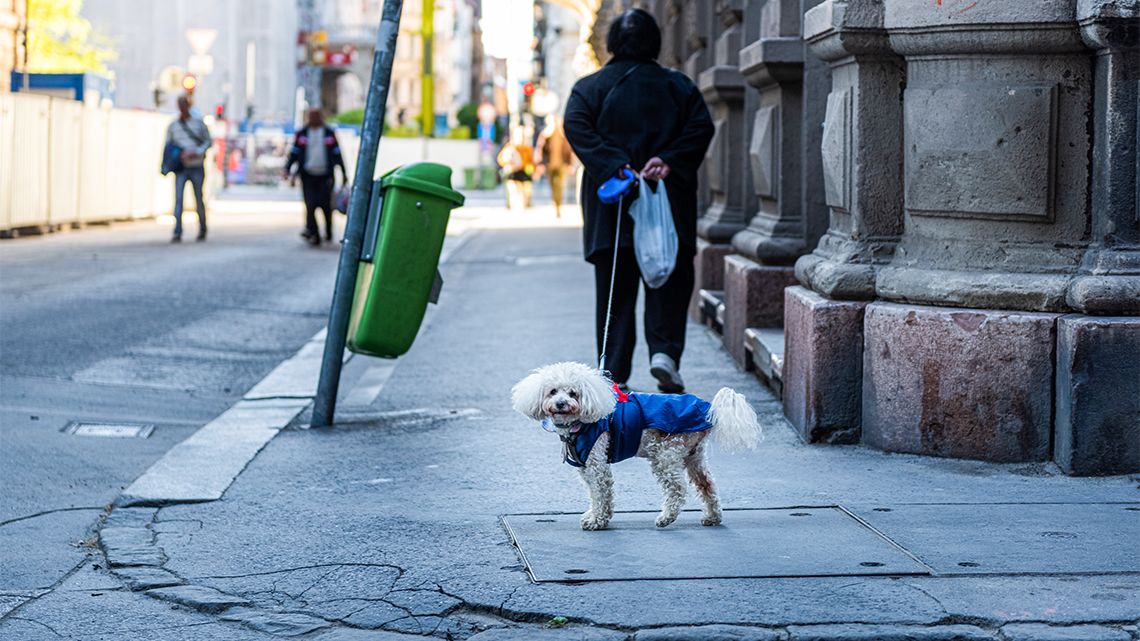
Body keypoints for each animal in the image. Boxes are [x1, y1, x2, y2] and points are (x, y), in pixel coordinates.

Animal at [513, 360, 761, 529]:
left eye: (573, 393)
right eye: (552, 391)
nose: (561, 403)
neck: (580, 423)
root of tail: (709, 409)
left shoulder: (597, 464)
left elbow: (602, 493)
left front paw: (598, 521)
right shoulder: (586, 467)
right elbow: (593, 493)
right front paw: (593, 515)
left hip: (665, 455)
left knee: (677, 489)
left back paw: (666, 518)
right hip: (694, 456)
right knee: (707, 486)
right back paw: (712, 517)